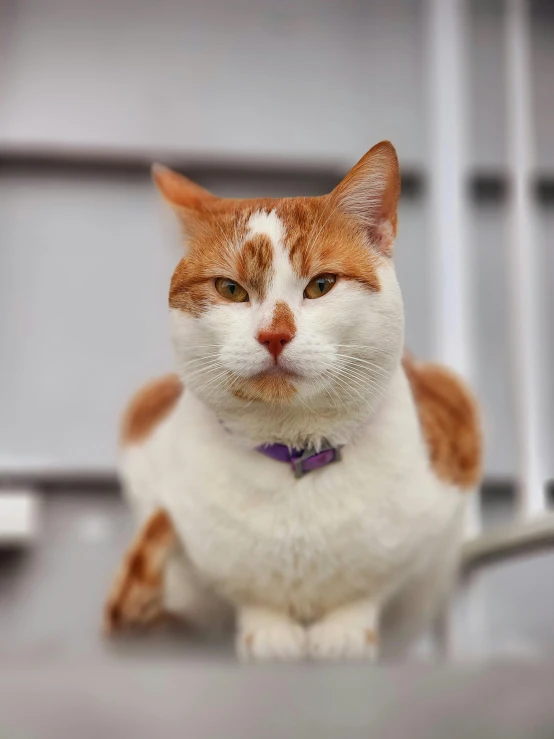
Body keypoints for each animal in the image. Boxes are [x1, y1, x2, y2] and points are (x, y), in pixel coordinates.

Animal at [102, 142, 478, 660]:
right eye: (230, 289)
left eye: (321, 285)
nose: (274, 334)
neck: (297, 454)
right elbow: (253, 596)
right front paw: (269, 634)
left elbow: (367, 585)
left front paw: (343, 635)